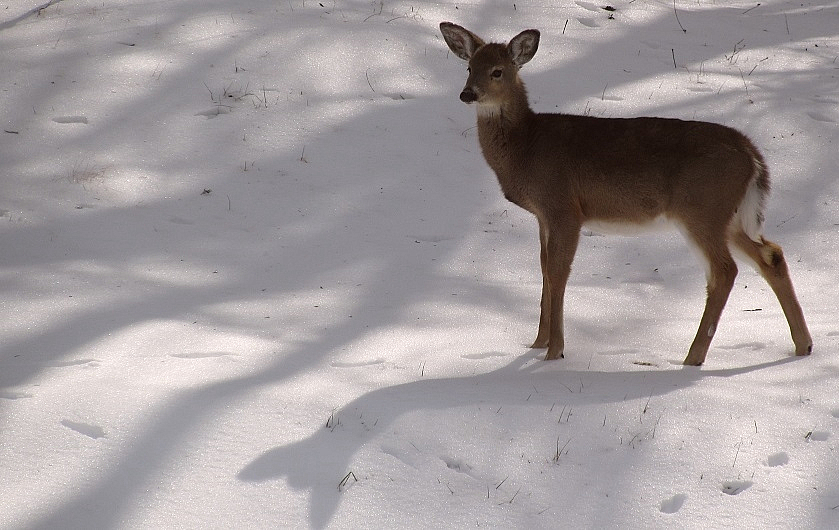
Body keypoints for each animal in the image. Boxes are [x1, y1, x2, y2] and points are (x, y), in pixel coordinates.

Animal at [440, 22, 812, 366]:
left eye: (497, 71)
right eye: (469, 67)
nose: (467, 94)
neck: (527, 147)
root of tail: (751, 152)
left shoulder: (563, 206)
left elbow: (558, 273)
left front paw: (554, 351)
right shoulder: (543, 215)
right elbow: (544, 269)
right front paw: (536, 343)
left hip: (702, 208)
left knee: (725, 271)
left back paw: (693, 357)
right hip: (728, 215)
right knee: (771, 254)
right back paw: (803, 345)